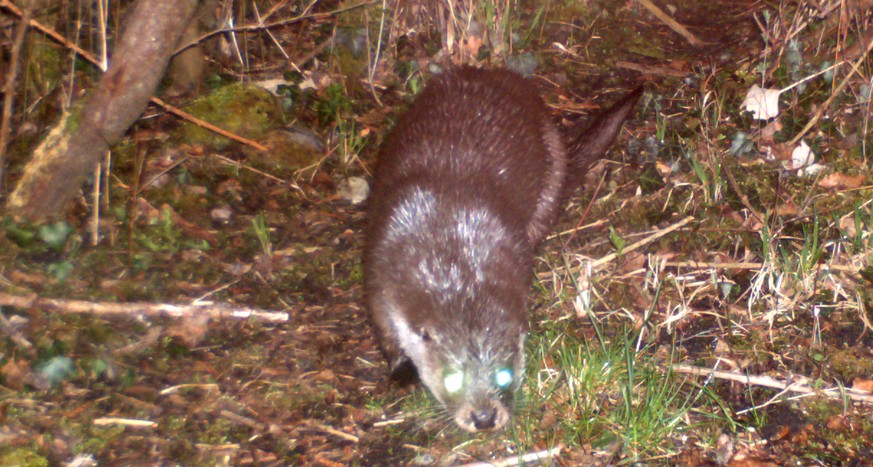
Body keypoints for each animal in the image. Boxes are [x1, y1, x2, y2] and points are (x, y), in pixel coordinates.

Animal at [362, 67, 640, 434]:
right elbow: (383, 327)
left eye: (504, 377)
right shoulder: (380, 273)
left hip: (551, 164)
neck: (450, 250)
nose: (484, 418)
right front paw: (401, 369)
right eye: (453, 380)